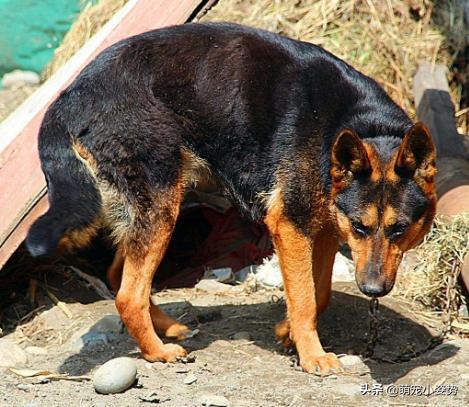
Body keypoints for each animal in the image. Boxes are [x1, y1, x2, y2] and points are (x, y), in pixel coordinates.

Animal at [25, 21, 436, 372]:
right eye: (362, 228)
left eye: (400, 229)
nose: (373, 290)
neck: (360, 125)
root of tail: (65, 100)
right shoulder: (291, 226)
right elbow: (305, 297)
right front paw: (312, 355)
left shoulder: (321, 229)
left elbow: (319, 293)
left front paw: (289, 333)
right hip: (162, 206)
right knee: (128, 294)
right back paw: (158, 352)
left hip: (150, 208)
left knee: (117, 276)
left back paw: (167, 328)